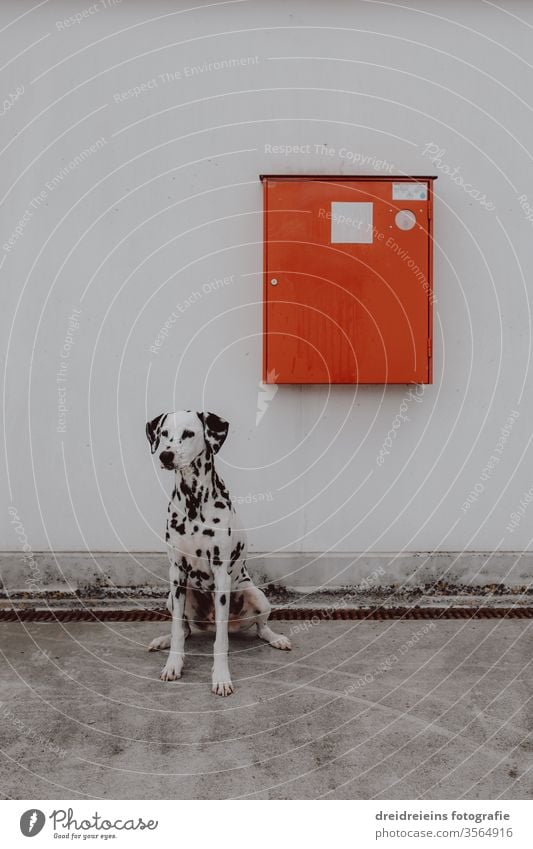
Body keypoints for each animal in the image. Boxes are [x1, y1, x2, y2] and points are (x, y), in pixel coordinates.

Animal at [144, 410, 290, 696]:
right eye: (164, 433)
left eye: (189, 433)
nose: (165, 455)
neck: (193, 501)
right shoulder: (176, 572)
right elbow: (177, 630)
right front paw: (174, 664)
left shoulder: (221, 573)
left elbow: (221, 642)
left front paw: (221, 676)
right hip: (172, 598)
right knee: (185, 629)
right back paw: (162, 640)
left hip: (256, 595)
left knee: (261, 627)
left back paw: (276, 638)